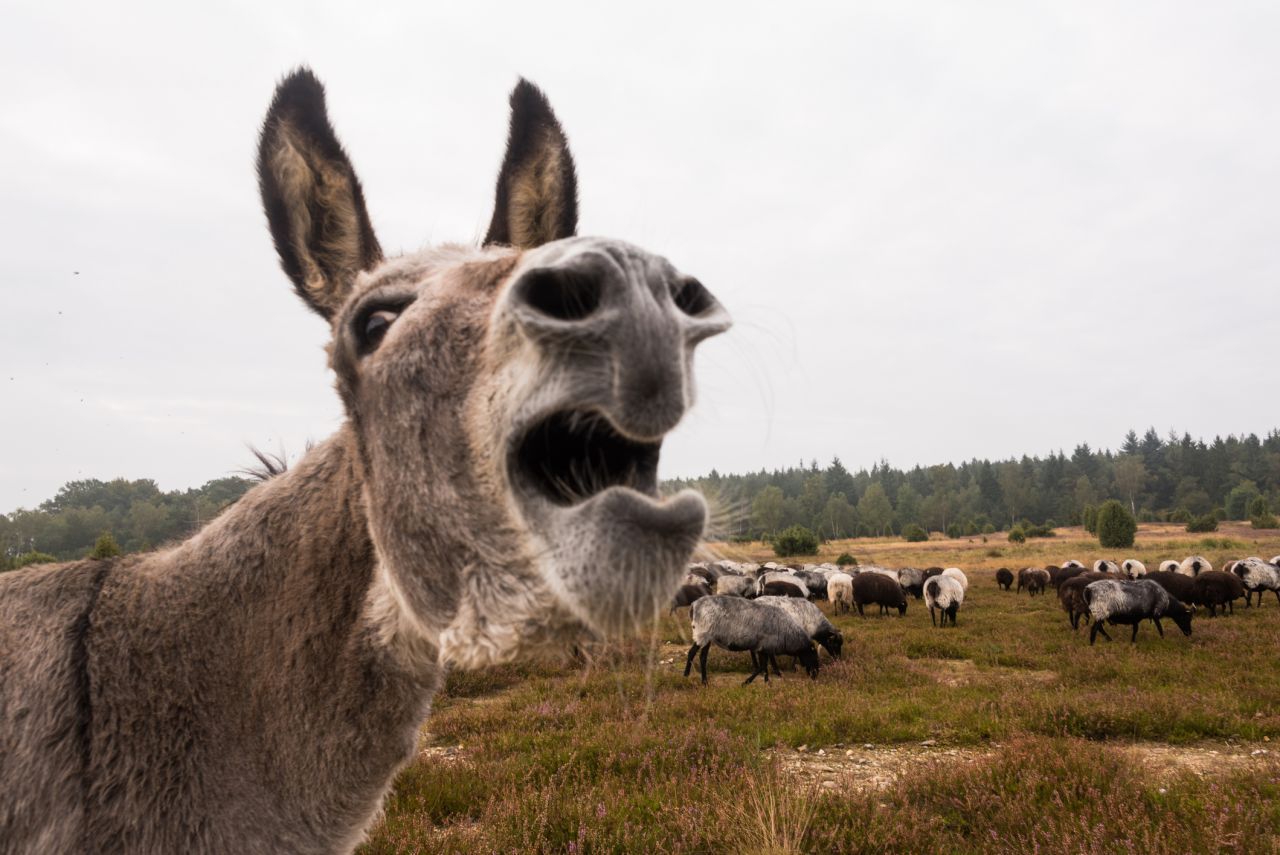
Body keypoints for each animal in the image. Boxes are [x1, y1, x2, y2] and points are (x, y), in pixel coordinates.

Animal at [680, 599, 819, 686]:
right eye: (813, 655)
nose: (815, 675)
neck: (789, 635)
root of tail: (694, 606)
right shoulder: (764, 646)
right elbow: (762, 666)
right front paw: (746, 683)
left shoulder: (764, 648)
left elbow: (764, 666)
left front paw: (767, 682)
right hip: (703, 633)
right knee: (696, 654)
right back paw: (693, 678)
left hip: (705, 636)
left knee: (698, 655)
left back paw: (697, 679)